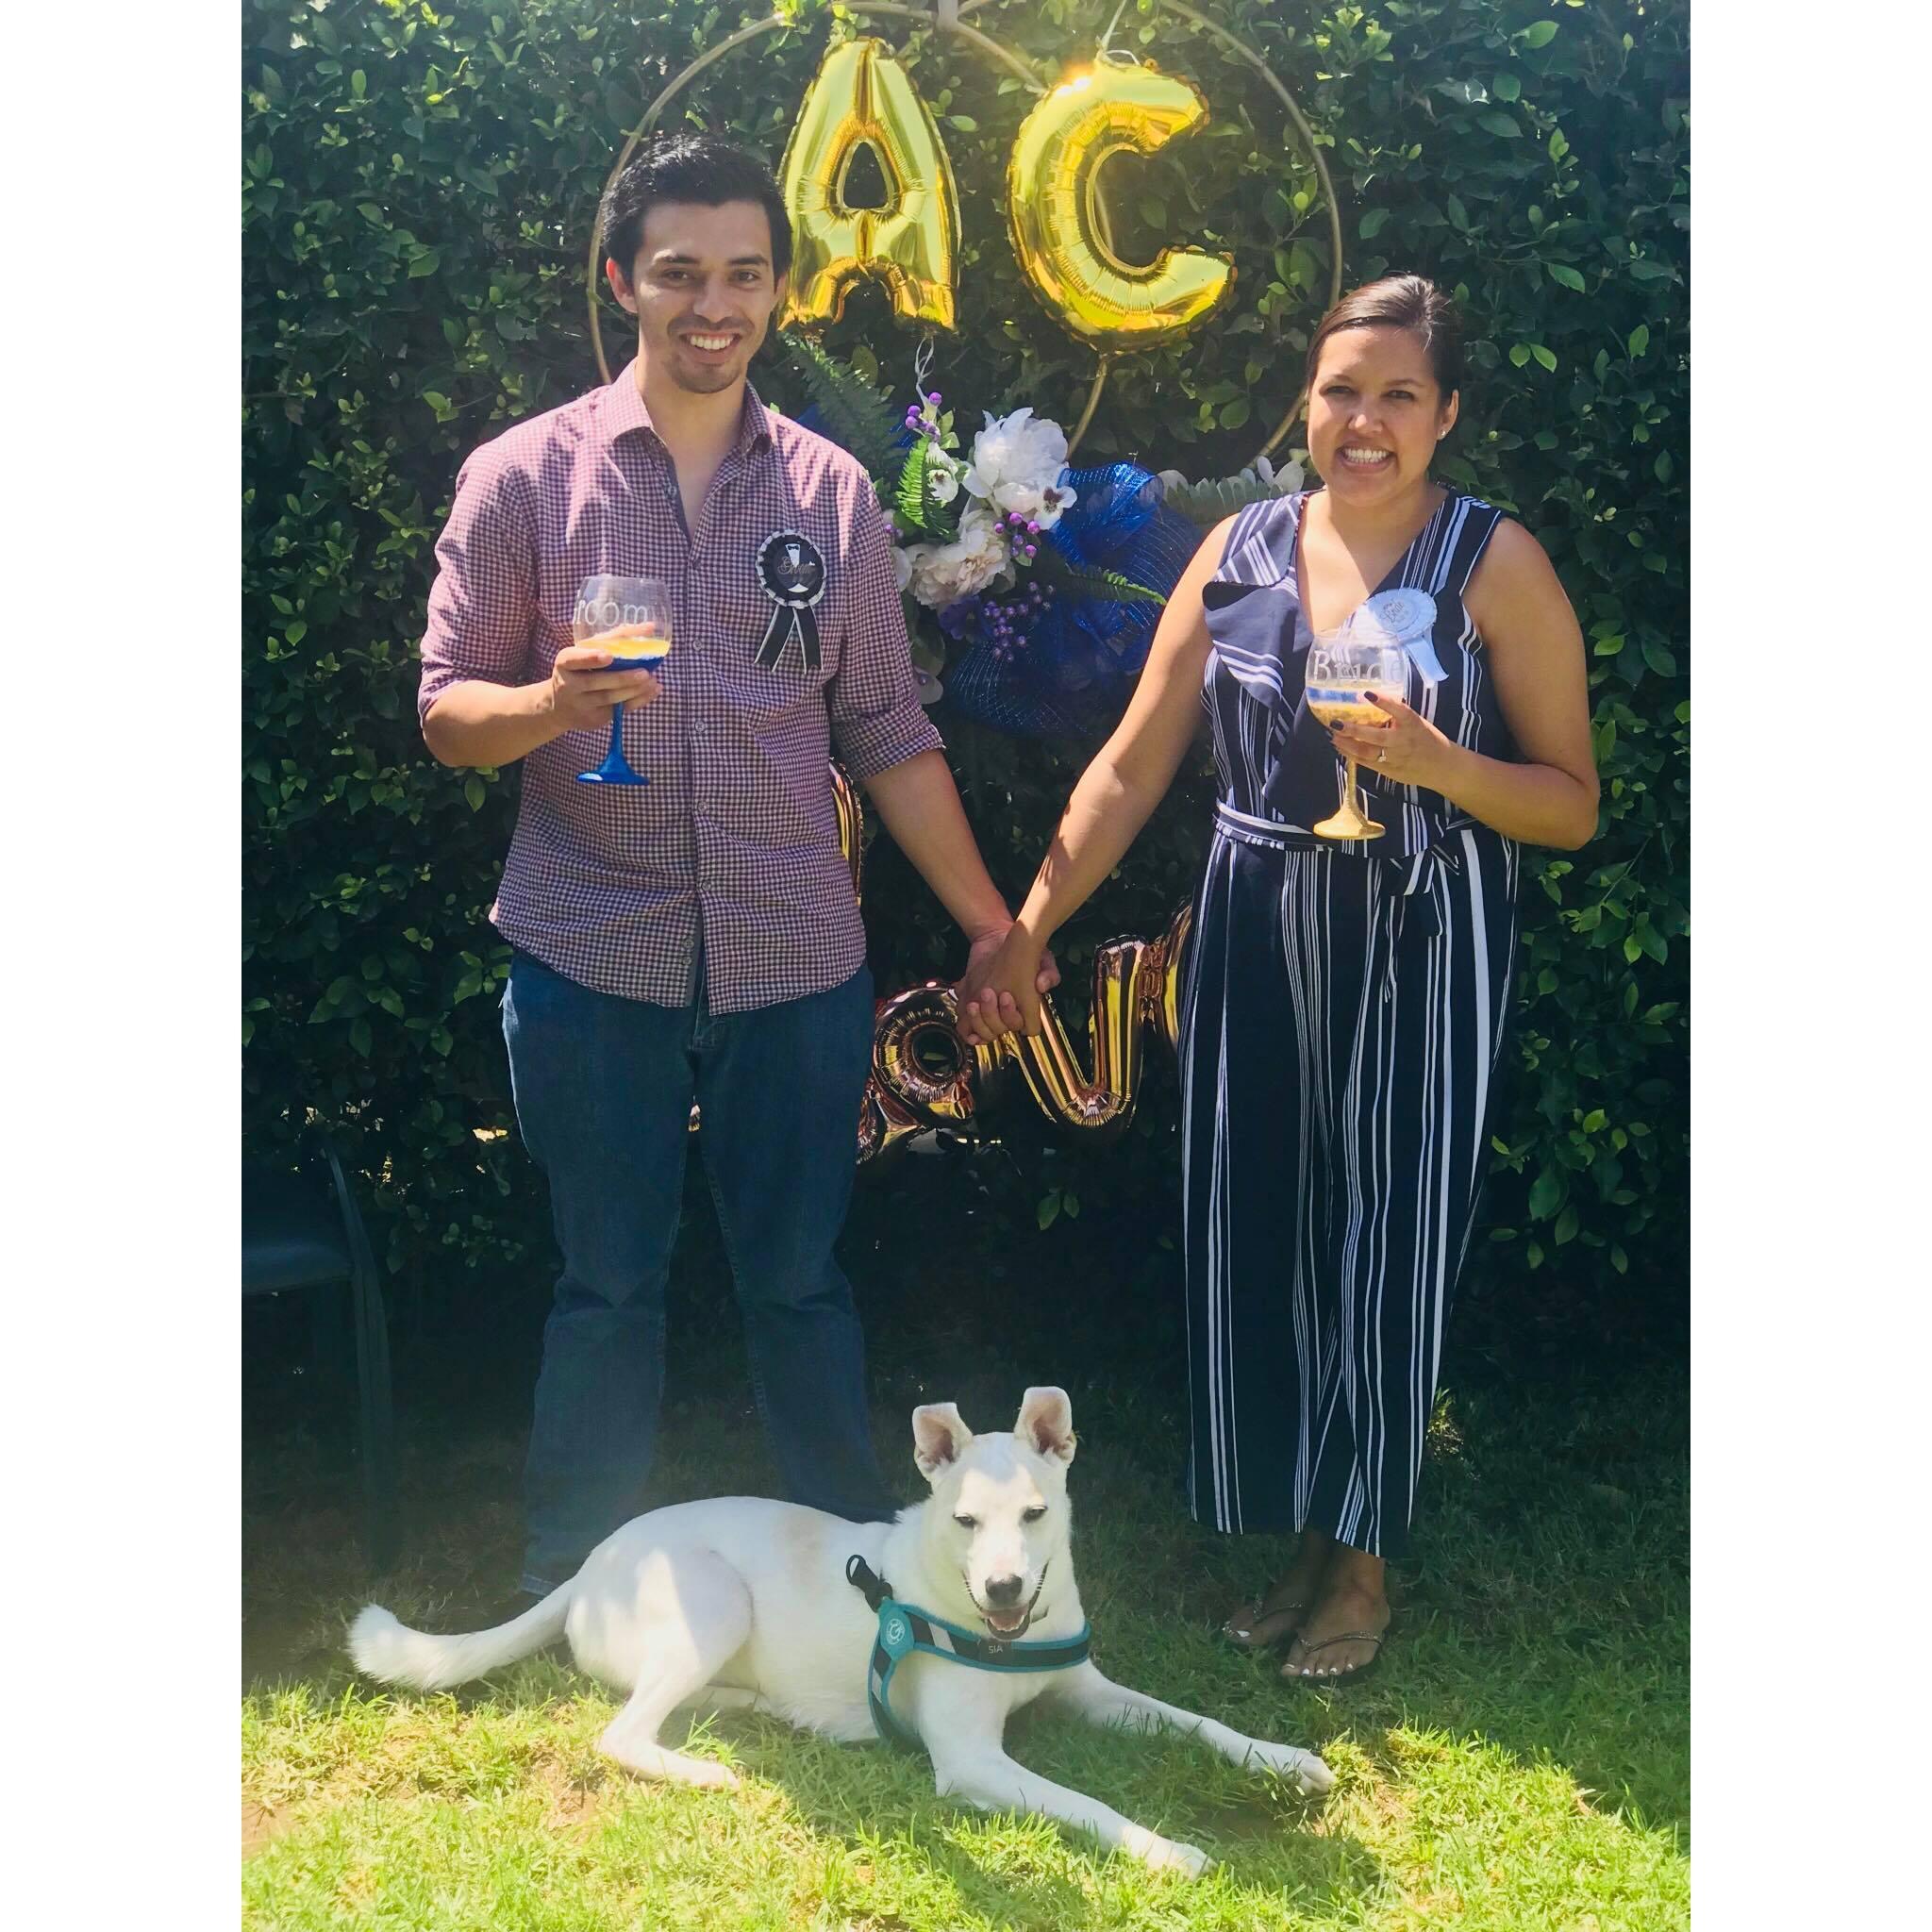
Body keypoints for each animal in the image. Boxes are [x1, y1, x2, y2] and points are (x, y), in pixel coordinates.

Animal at [351, 1383, 1329, 1877]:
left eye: (1036, 1513)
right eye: (965, 1521)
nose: (1005, 1586)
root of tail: (585, 1569)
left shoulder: (1089, 1691)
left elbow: (1200, 1723)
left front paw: (1287, 1760)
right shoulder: (973, 1763)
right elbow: (1088, 1804)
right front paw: (1164, 1849)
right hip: (712, 1597)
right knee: (621, 1731)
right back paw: (706, 1770)